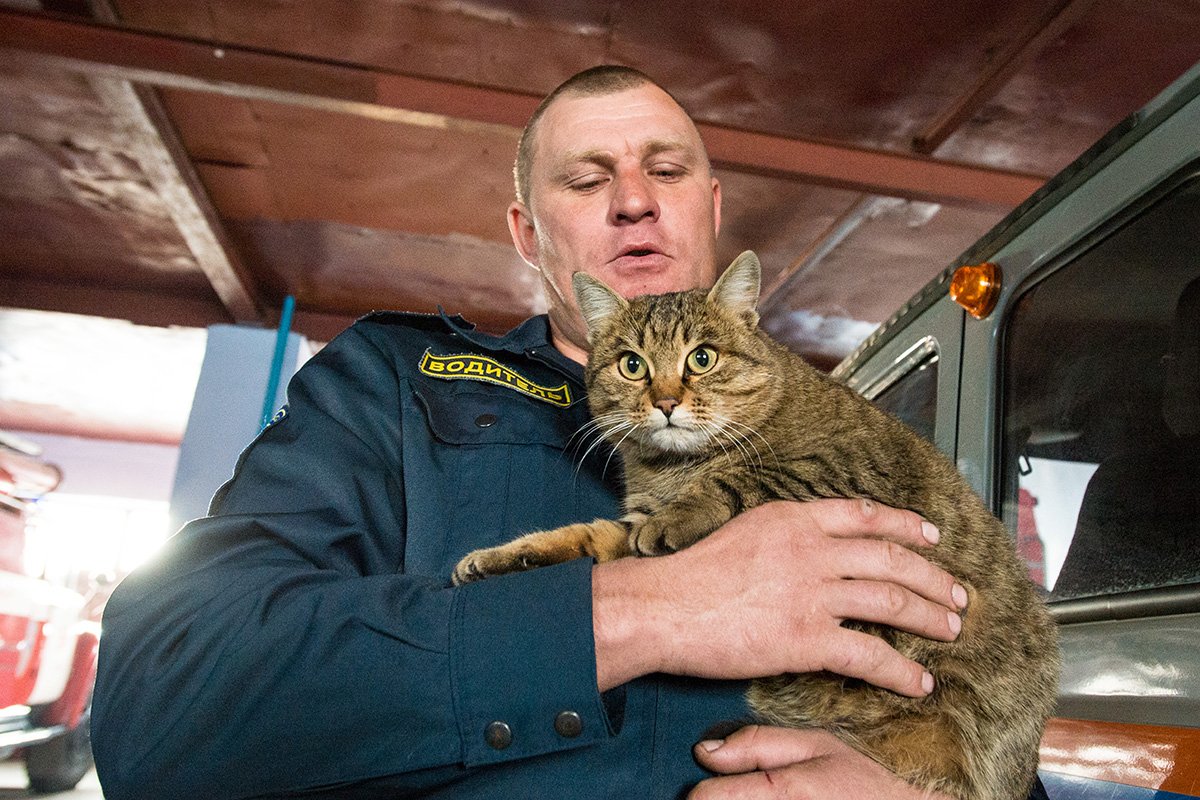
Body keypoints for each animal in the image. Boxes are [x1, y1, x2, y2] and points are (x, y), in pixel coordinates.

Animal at [451, 250, 1060, 800]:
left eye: (701, 358)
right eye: (632, 365)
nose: (666, 401)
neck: (669, 468)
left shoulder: (850, 469)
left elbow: (742, 480)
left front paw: (684, 511)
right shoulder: (627, 523)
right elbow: (586, 537)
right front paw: (501, 558)